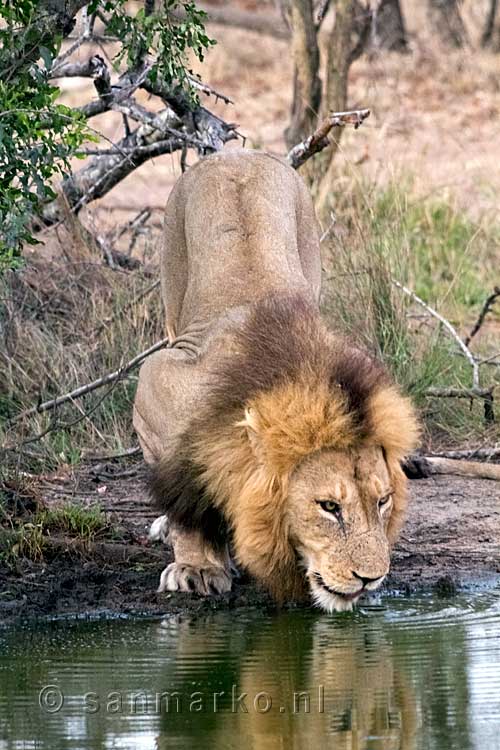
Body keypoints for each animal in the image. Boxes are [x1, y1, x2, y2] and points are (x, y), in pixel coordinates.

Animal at [133, 150, 418, 612]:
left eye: (383, 501)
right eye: (328, 506)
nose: (370, 579)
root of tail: (237, 152)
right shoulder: (155, 388)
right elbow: (185, 496)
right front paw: (198, 567)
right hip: (172, 284)